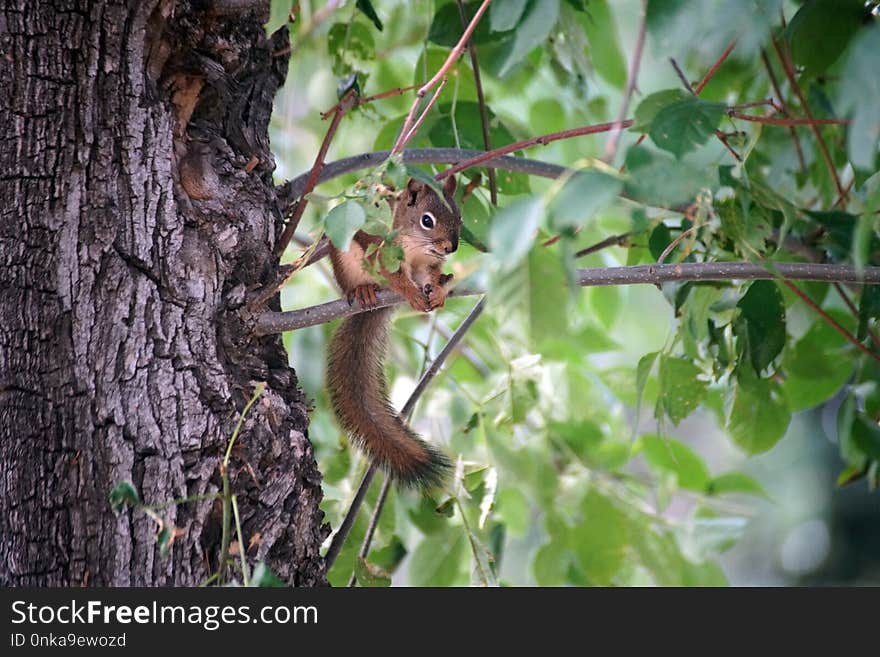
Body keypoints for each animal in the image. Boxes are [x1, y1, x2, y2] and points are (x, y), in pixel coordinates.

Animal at [324, 177, 460, 490]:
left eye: (459, 216)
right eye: (427, 220)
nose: (450, 247)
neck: (414, 245)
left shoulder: (428, 263)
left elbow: (430, 274)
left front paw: (436, 290)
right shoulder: (379, 249)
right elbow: (394, 277)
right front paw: (411, 292)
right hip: (347, 262)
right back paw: (363, 290)